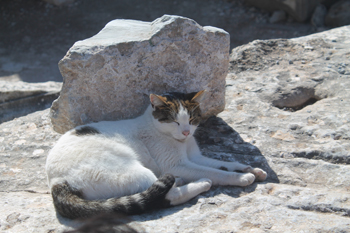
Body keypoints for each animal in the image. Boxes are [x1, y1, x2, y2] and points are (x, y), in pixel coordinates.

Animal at [45, 90, 266, 219]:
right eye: (175, 121)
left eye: (191, 120)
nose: (186, 132)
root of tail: (57, 181)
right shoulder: (175, 164)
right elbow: (216, 172)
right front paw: (241, 177)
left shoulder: (195, 158)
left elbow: (222, 163)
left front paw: (251, 168)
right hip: (133, 171)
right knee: (164, 197)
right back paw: (200, 183)